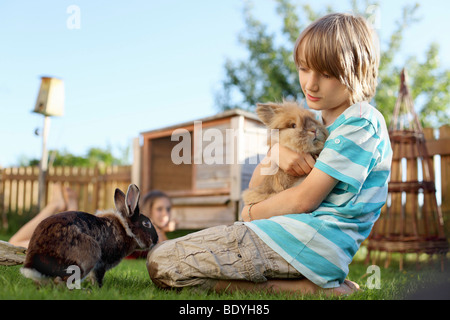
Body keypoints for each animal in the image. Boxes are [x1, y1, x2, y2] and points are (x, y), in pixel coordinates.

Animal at [20, 184, 158, 286]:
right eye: (146, 224)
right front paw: (98, 288)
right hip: (89, 254)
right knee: (62, 281)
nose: (156, 240)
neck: (126, 229)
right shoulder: (101, 263)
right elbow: (98, 276)